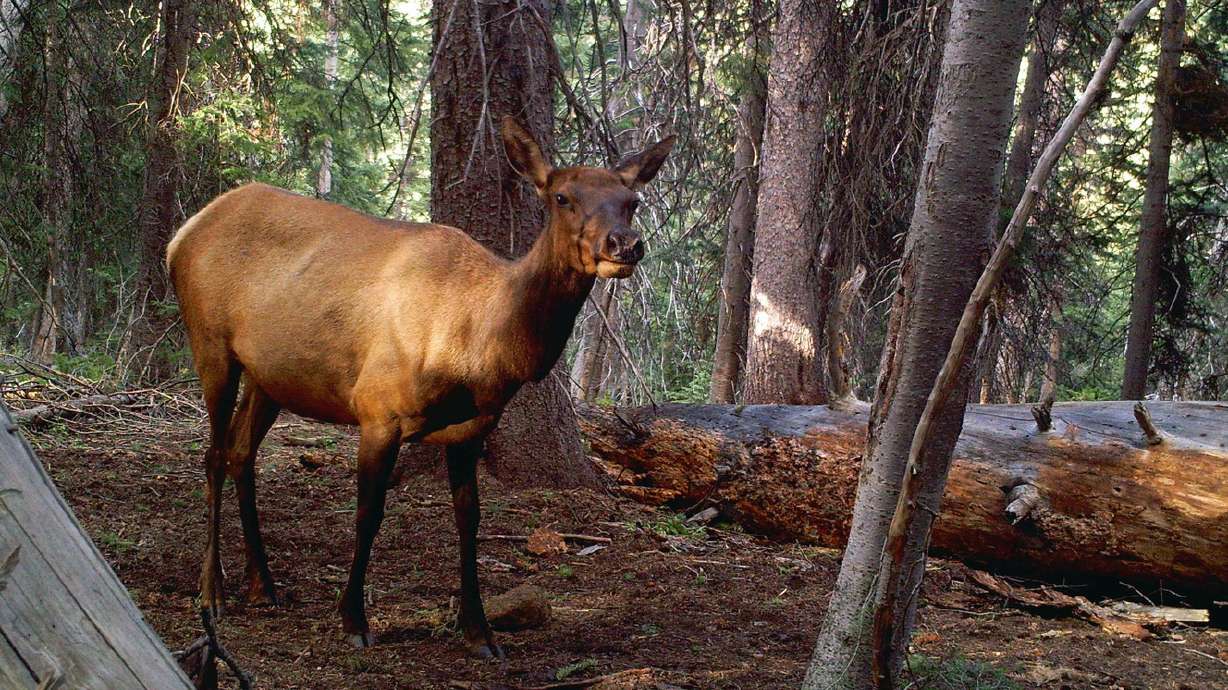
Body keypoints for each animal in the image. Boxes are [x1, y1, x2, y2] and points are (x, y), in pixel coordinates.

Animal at [166, 117, 674, 659]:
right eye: (562, 197)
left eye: (632, 200)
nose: (625, 244)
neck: (478, 347)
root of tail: (181, 236)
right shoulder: (377, 410)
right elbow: (369, 511)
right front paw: (353, 618)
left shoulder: (471, 427)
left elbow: (470, 520)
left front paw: (479, 631)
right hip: (210, 344)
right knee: (214, 454)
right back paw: (212, 591)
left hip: (270, 376)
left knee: (242, 453)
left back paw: (262, 584)